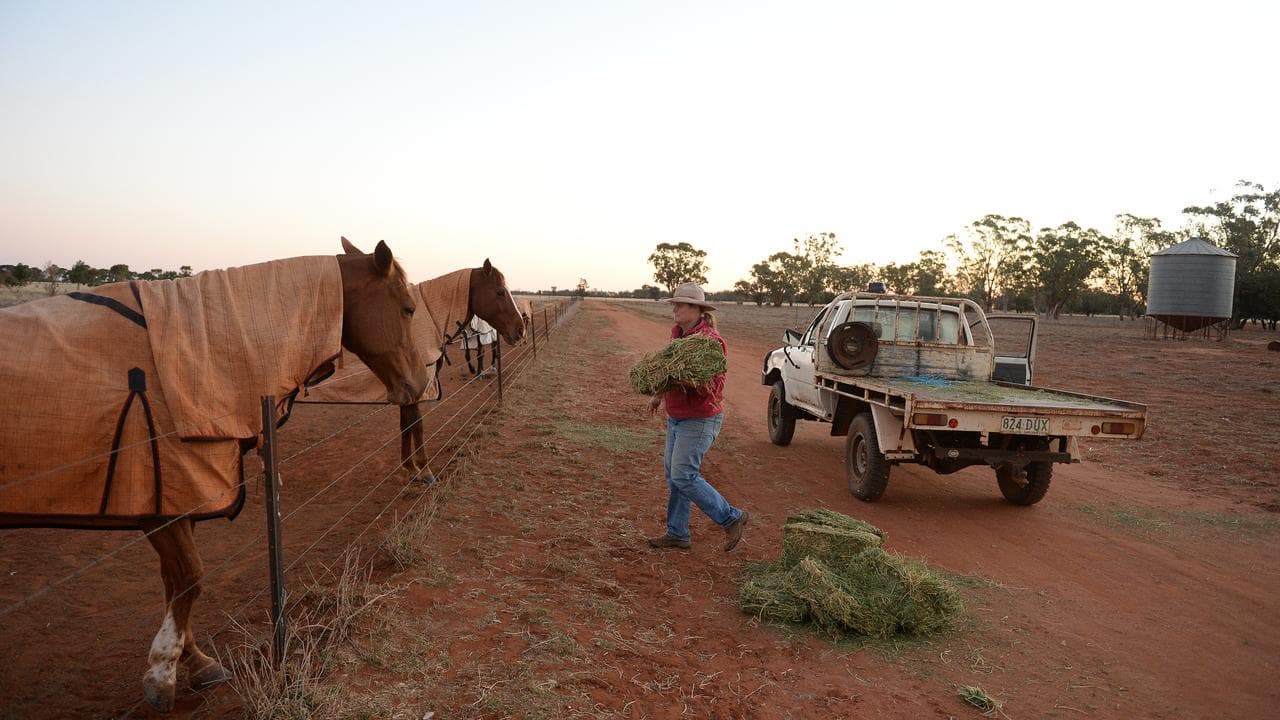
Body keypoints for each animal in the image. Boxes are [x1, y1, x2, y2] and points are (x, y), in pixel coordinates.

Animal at [0, 237, 429, 712]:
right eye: (408, 308)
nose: (419, 384)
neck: (194, 363)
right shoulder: (165, 507)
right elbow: (190, 579)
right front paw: (162, 672)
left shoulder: (179, 504)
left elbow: (175, 583)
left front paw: (195, 662)